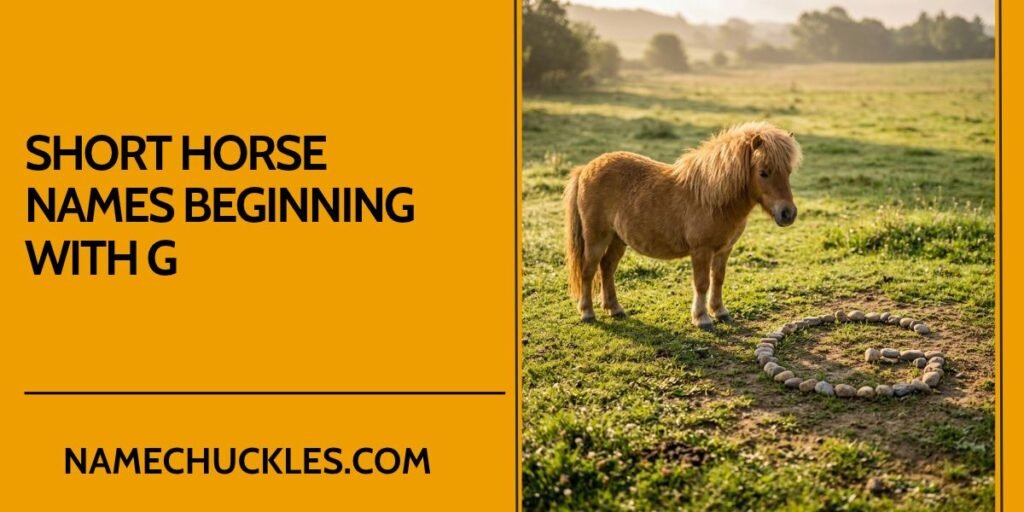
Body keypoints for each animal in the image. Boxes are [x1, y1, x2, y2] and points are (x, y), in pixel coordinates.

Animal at [564, 121, 802, 328]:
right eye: (764, 172)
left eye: (788, 172)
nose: (788, 213)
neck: (712, 198)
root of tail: (585, 168)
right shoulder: (701, 250)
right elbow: (702, 283)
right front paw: (702, 318)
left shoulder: (724, 250)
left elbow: (718, 279)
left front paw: (720, 312)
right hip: (596, 238)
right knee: (588, 270)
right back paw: (587, 313)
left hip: (617, 239)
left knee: (607, 267)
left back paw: (615, 309)